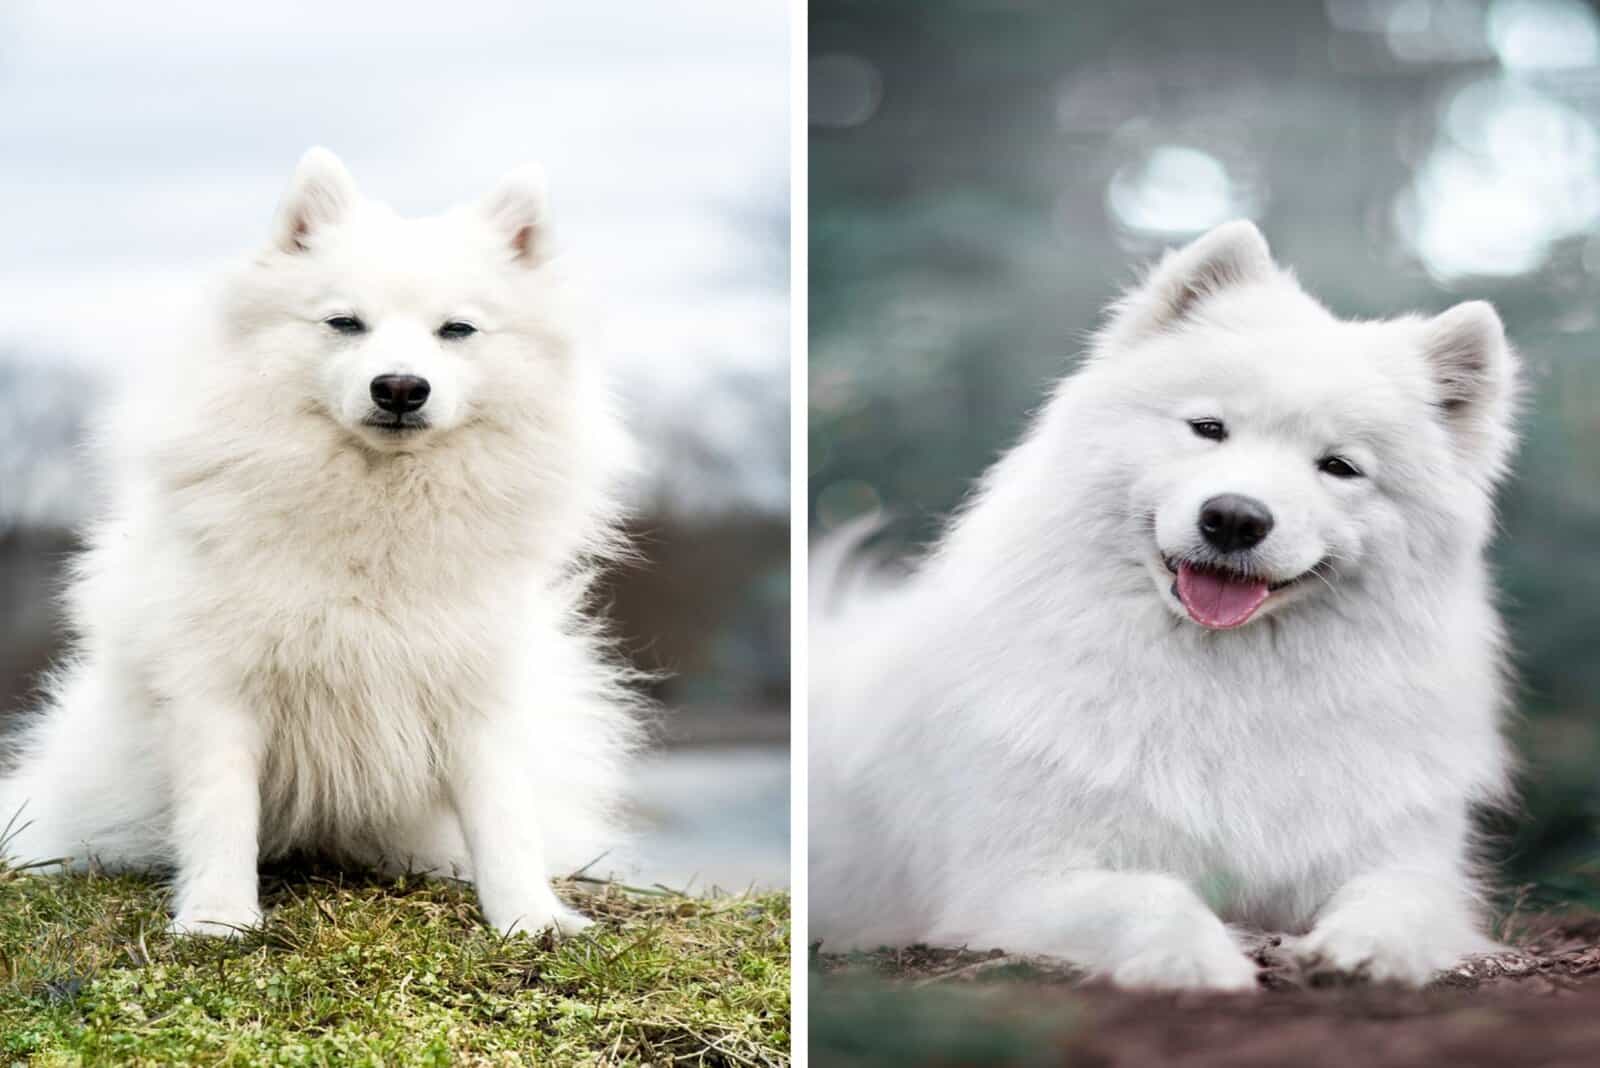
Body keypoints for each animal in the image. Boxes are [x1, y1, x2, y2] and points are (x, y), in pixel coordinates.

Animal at [0, 147, 636, 933]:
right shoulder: (217, 685)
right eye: (345, 323)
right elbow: (220, 812)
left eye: (456, 330)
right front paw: (216, 920)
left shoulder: (475, 688)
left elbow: (504, 817)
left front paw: (530, 919)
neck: (375, 509)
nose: (400, 388)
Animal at [819, 220, 1516, 991]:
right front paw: (1200, 962)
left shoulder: (1402, 859)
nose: (1235, 517)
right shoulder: (1016, 881)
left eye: (1339, 467)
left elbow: (1398, 897)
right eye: (1208, 428)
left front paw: (1364, 949)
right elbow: (1150, 896)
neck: (1226, 684)